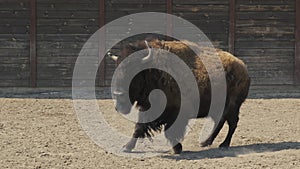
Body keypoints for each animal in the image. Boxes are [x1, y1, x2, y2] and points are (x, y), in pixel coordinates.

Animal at [109, 39, 250, 154]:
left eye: (133, 71)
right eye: (116, 69)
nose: (118, 95)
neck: (155, 71)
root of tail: (243, 67)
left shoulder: (176, 112)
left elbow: (170, 131)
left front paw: (177, 148)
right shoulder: (147, 109)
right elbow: (139, 127)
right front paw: (126, 147)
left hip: (232, 106)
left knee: (232, 123)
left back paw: (223, 144)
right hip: (219, 108)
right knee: (220, 122)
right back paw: (205, 142)